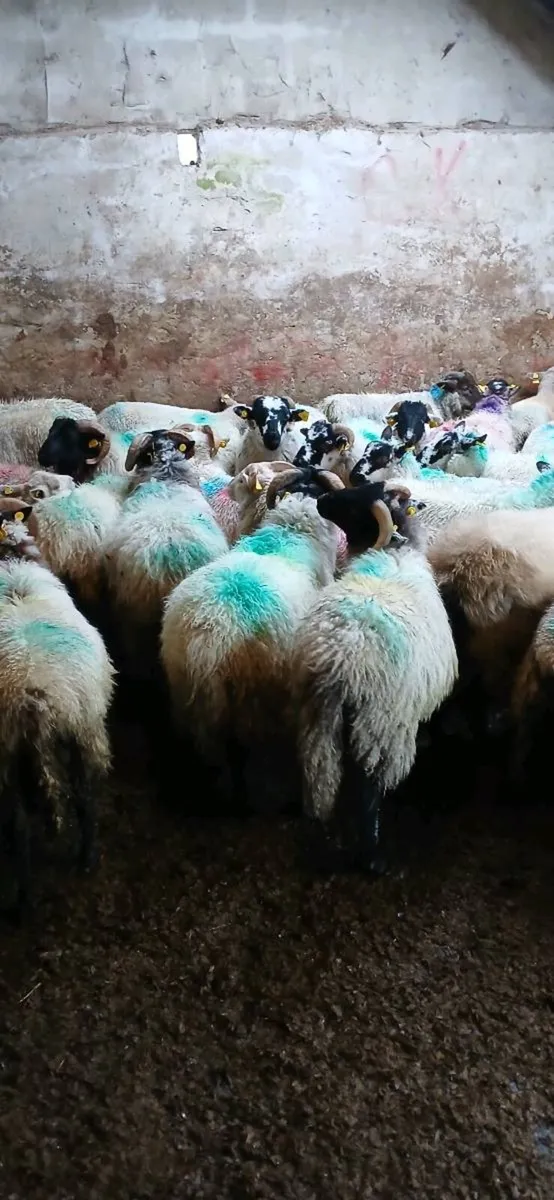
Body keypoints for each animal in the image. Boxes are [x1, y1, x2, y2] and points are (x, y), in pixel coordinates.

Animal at [0, 509, 115, 917]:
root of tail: (33, 695)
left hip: (12, 750)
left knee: (19, 826)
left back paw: (24, 898)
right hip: (83, 727)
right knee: (82, 798)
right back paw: (85, 860)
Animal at [291, 485, 457, 872]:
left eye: (355, 504)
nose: (321, 500)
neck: (393, 551)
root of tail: (341, 664)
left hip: (317, 724)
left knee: (322, 779)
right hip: (381, 727)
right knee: (369, 790)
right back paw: (372, 857)